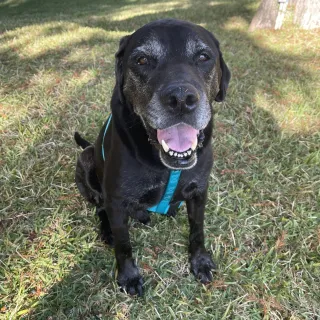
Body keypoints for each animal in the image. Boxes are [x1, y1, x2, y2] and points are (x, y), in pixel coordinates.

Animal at [75, 18, 230, 296]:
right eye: (142, 60)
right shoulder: (116, 200)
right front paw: (128, 276)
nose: (181, 99)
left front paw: (200, 261)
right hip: (88, 159)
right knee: (100, 207)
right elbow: (124, 244)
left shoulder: (199, 192)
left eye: (204, 57)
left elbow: (197, 229)